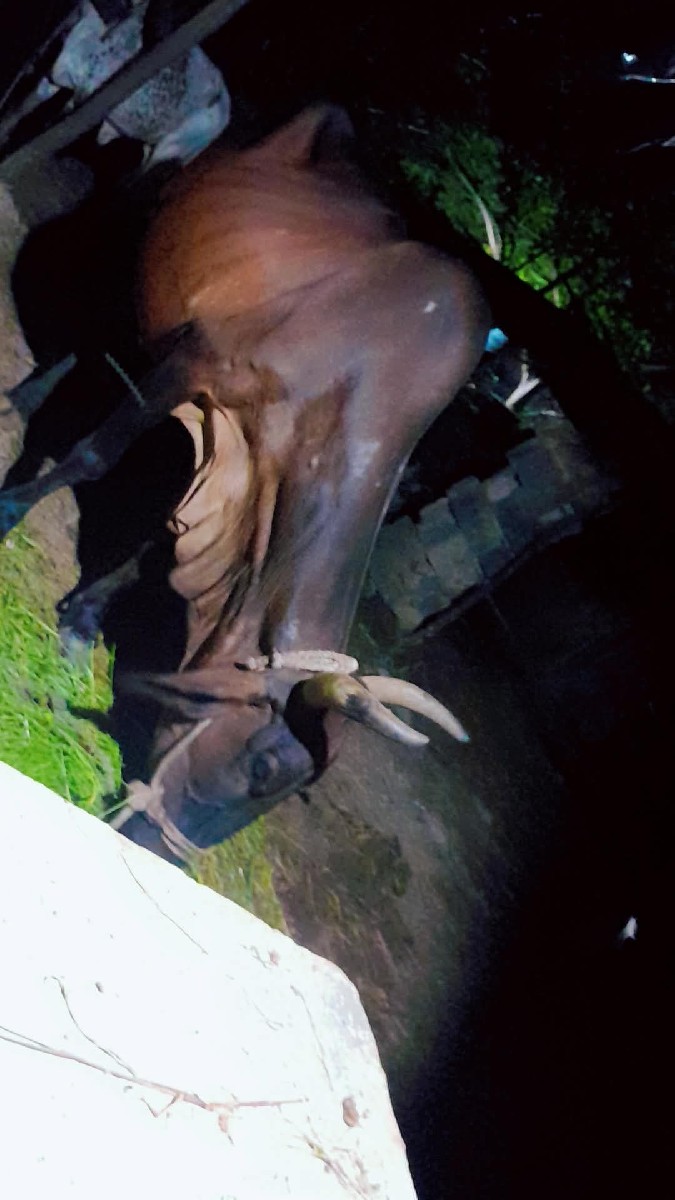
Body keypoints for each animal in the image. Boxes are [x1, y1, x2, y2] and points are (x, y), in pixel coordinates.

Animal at [0, 105, 490, 861]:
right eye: (261, 766)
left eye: (277, 799)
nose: (153, 846)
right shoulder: (198, 362)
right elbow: (93, 457)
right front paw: (7, 510)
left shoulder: (232, 464)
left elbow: (156, 538)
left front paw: (80, 621)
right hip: (143, 227)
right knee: (87, 326)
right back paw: (24, 396)